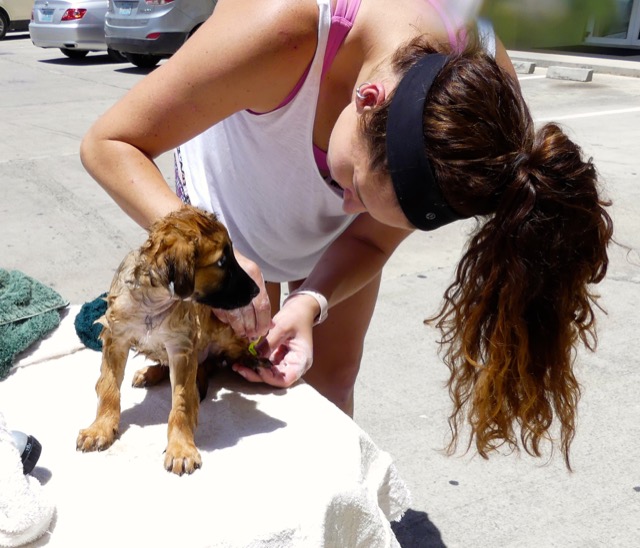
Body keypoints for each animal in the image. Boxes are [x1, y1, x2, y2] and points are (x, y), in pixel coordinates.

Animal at [77, 206, 268, 476]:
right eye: (222, 262)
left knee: (226, 356)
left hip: (224, 334)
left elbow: (181, 403)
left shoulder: (182, 349)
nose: (256, 291)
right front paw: (101, 427)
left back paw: (251, 362)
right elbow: (108, 387)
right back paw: (149, 373)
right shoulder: (116, 337)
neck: (153, 303)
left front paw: (181, 449)